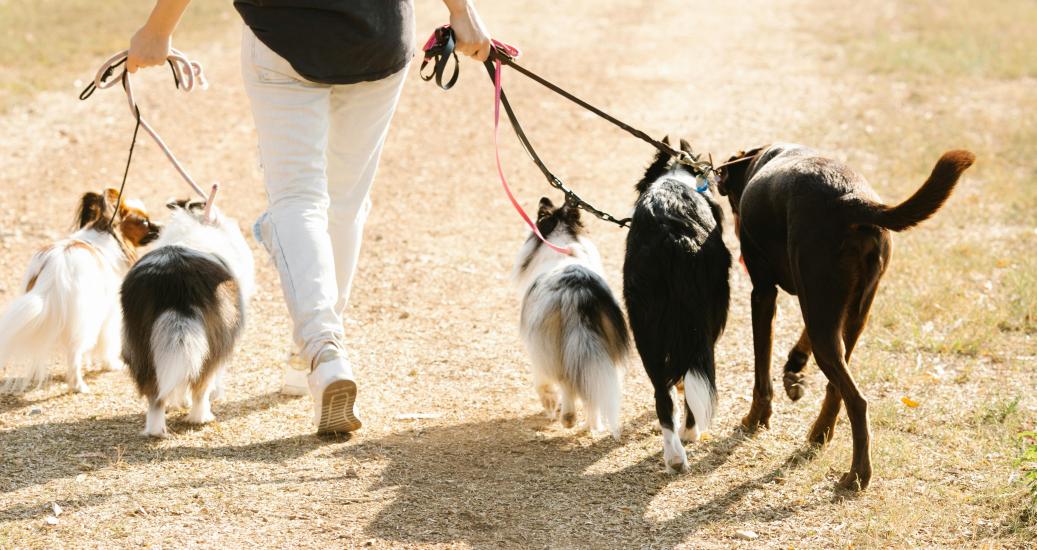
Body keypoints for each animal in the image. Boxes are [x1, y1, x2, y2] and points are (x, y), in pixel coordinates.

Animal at [0, 186, 159, 390]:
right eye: (144, 222)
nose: (161, 226)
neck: (108, 234)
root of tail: (54, 271)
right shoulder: (109, 314)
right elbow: (107, 342)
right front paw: (111, 365)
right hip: (85, 319)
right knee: (74, 352)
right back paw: (78, 385)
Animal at [512, 197, 626, 435]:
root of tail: (578, 293)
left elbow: (543, 385)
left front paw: (550, 405)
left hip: (549, 346)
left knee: (566, 381)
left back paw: (568, 417)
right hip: (605, 351)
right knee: (594, 389)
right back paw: (591, 425)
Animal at [622, 138, 730, 471]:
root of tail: (673, 235)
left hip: (643, 324)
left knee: (661, 393)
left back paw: (673, 456)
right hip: (704, 318)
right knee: (695, 376)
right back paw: (689, 435)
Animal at [717, 142, 974, 487]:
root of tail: (852, 202)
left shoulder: (764, 294)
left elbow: (761, 372)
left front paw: (756, 418)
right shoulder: (827, 304)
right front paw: (794, 367)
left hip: (823, 312)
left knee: (857, 400)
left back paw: (857, 474)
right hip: (850, 315)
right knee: (836, 387)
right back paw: (821, 433)